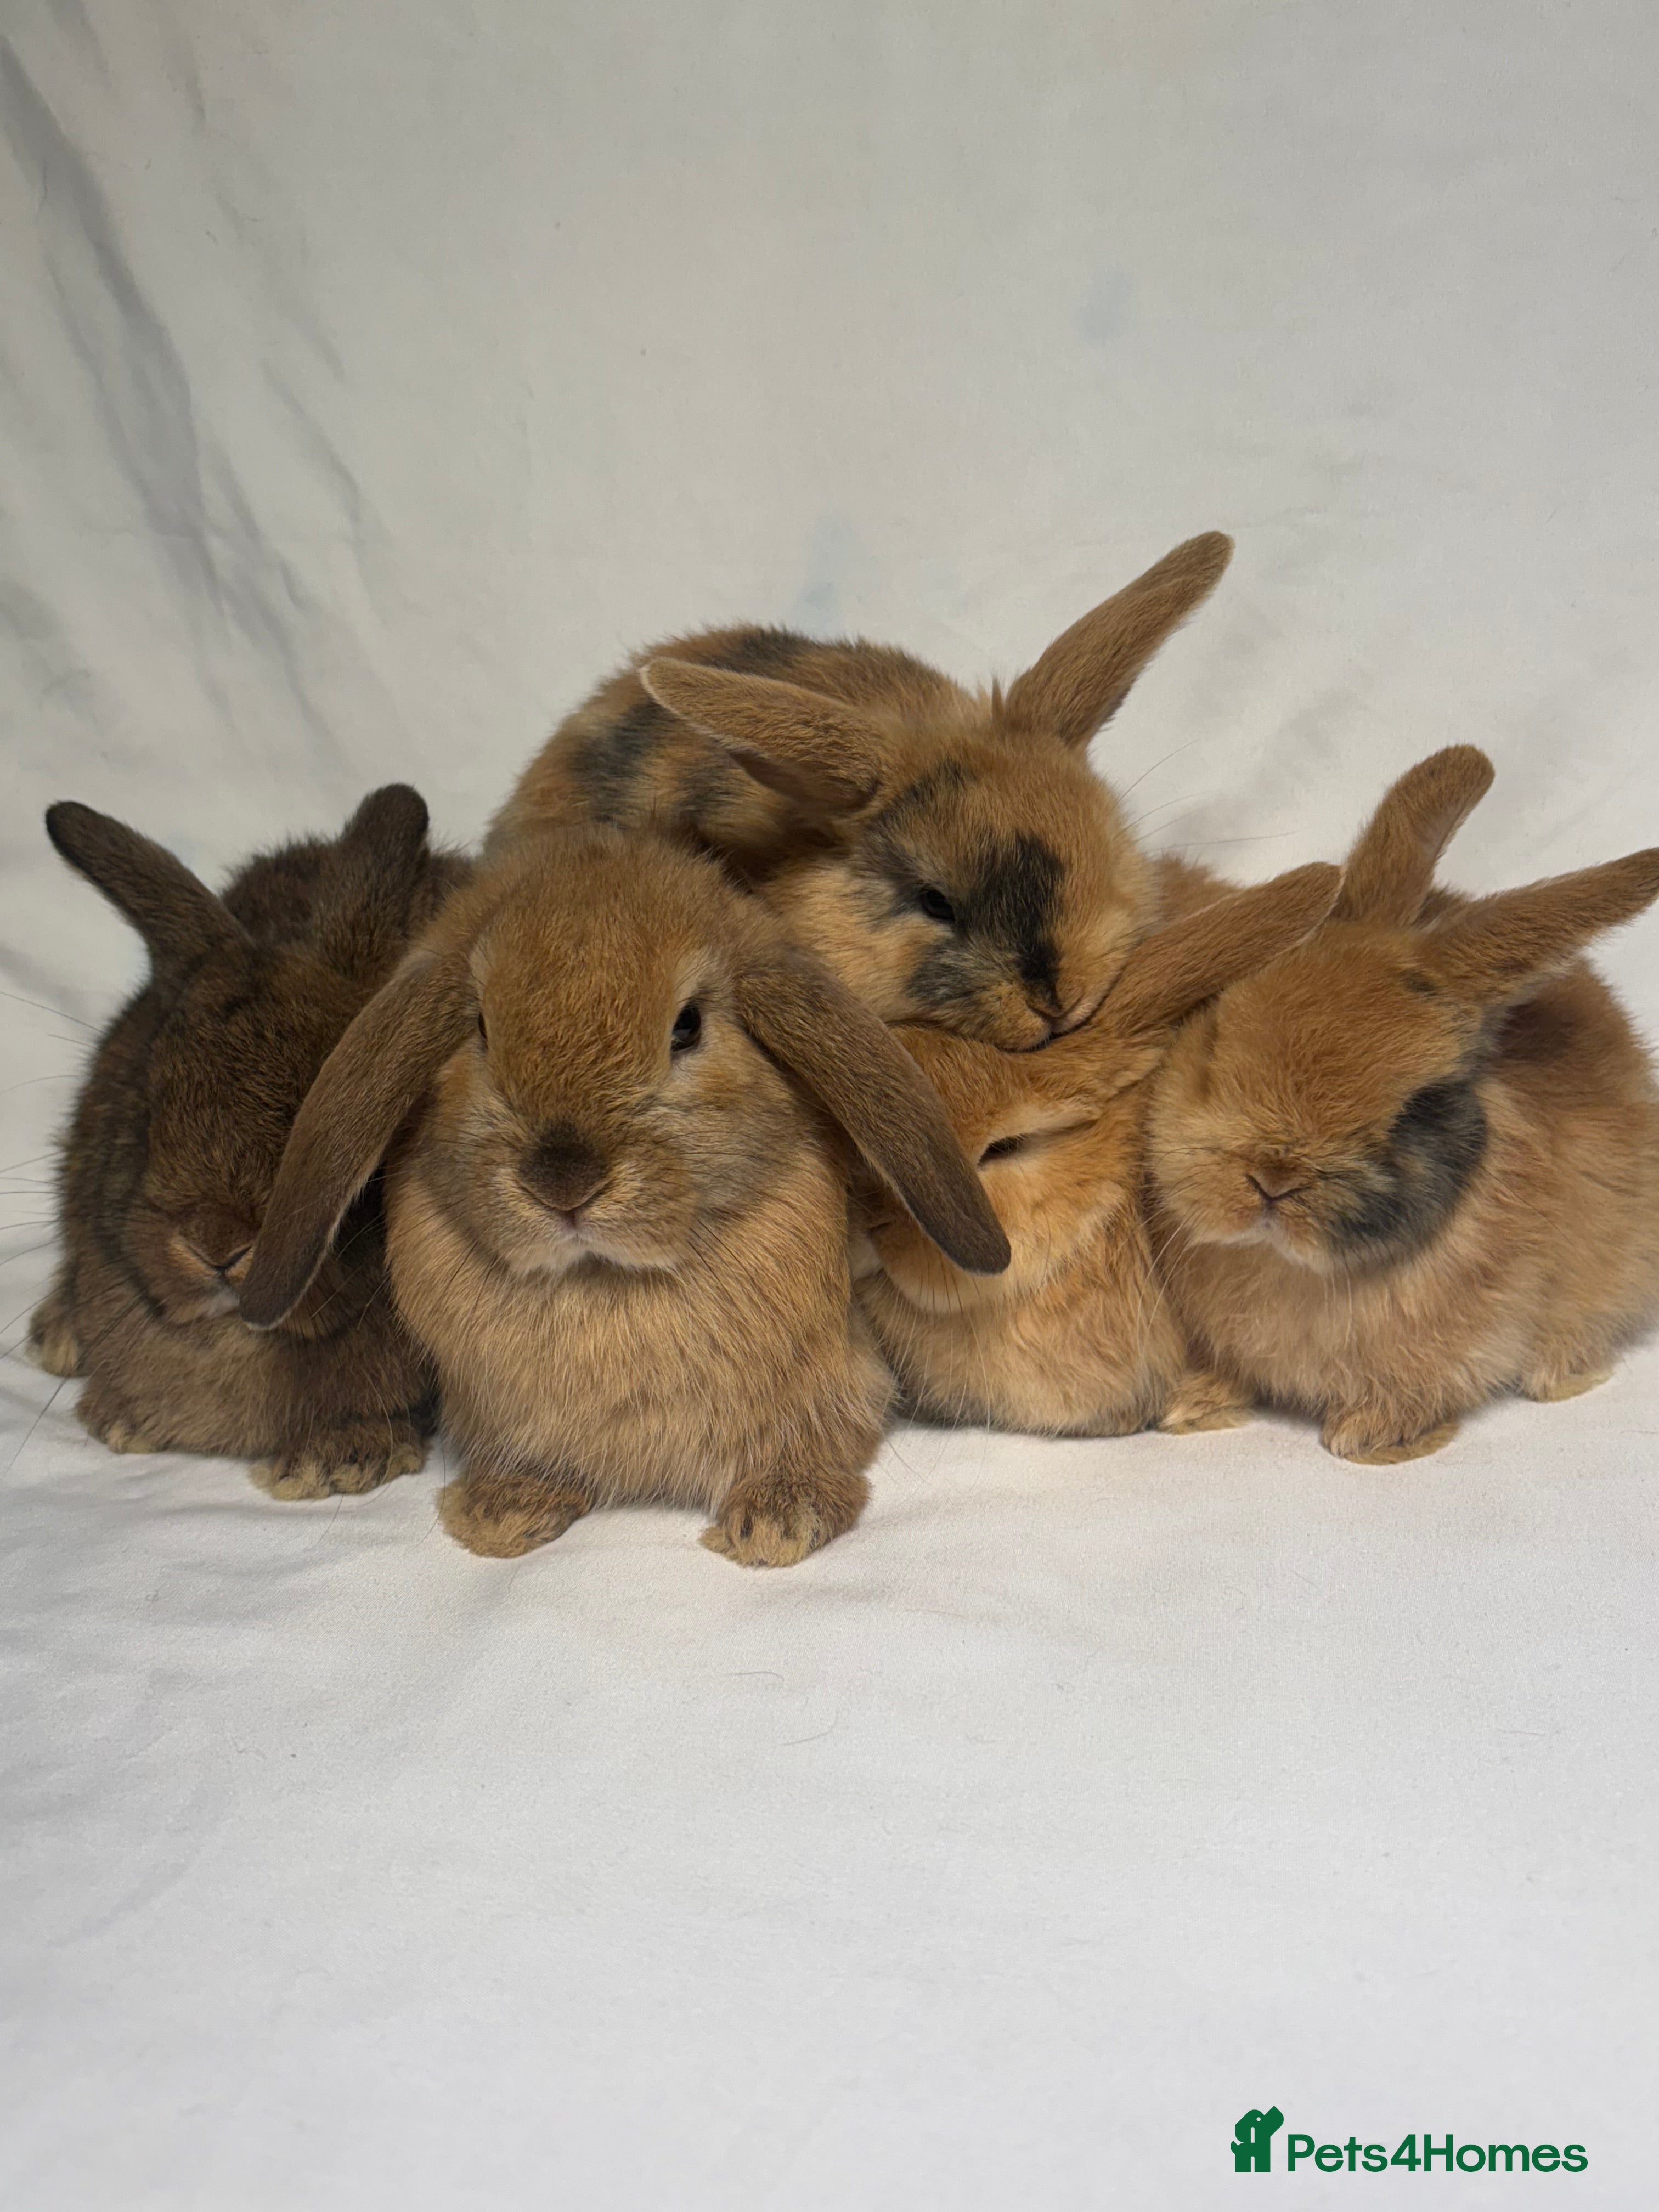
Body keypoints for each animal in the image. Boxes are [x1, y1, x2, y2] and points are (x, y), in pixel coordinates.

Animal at [236, 825, 1011, 1565]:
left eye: (688, 1025)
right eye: (481, 1027)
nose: (563, 1183)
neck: (602, 1282)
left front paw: (779, 1521)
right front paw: (500, 1515)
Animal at [1145, 745, 1659, 1463]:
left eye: (1421, 1106)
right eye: (1216, 1032)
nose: (1273, 1178)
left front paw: (1371, 1436)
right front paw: (1192, 1404)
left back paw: (1557, 1372)